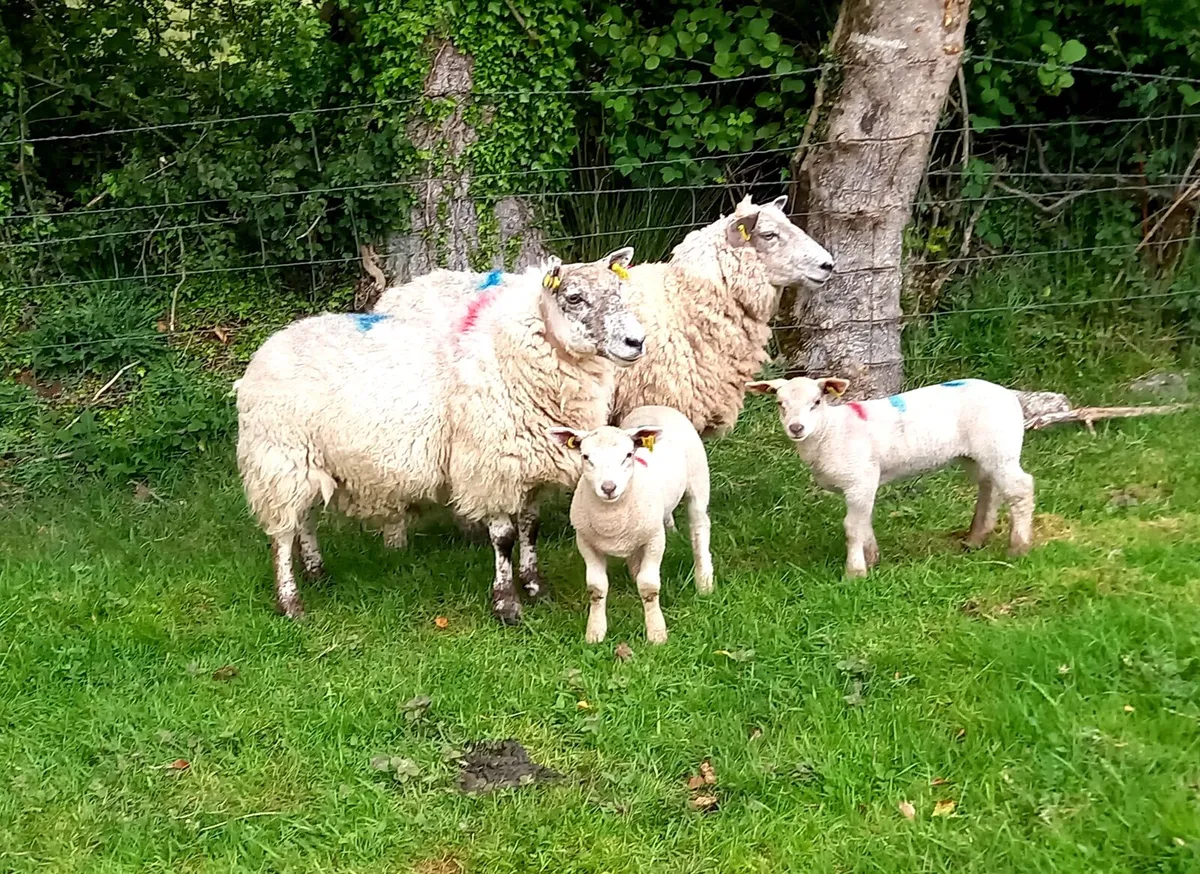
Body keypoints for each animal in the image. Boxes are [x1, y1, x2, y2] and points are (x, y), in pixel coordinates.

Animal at [235, 248, 644, 622]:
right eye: (574, 297)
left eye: (618, 290)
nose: (636, 341)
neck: (509, 354)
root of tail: (273, 343)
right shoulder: (489, 467)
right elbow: (505, 538)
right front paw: (506, 603)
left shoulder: (528, 465)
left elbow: (531, 529)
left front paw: (534, 585)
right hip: (279, 456)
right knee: (283, 533)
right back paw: (291, 602)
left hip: (305, 460)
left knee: (303, 519)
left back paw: (316, 571)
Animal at [549, 405, 713, 645]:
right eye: (586, 457)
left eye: (628, 455)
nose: (608, 487)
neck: (611, 519)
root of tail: (657, 406)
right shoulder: (586, 542)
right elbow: (596, 588)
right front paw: (595, 633)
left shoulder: (655, 539)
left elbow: (649, 587)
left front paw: (656, 634)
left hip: (698, 483)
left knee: (699, 527)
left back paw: (704, 582)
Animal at [745, 376, 1035, 577]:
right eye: (780, 404)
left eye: (816, 402)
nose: (796, 428)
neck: (832, 431)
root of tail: (1009, 394)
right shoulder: (864, 484)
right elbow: (863, 522)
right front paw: (872, 558)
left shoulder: (860, 479)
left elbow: (852, 527)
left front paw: (855, 572)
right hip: (979, 455)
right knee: (991, 488)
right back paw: (976, 538)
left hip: (999, 445)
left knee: (1020, 490)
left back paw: (1018, 547)